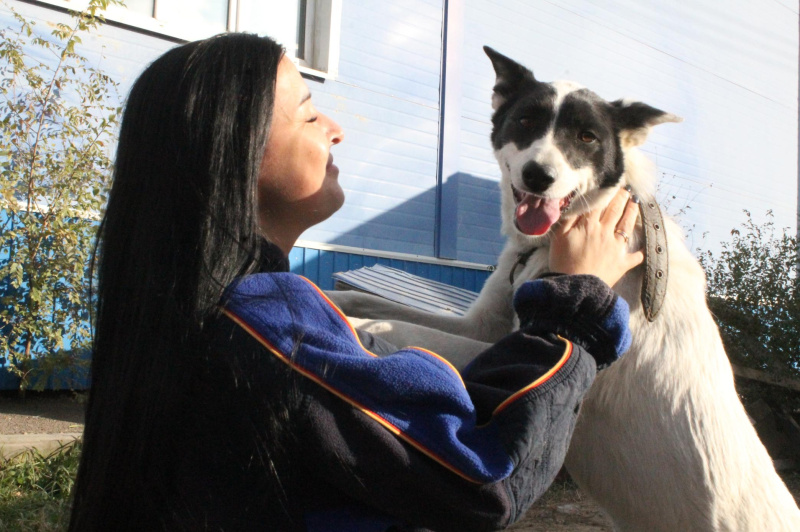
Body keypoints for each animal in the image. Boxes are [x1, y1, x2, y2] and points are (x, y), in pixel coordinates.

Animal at [329, 47, 800, 531]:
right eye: (525, 122)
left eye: (587, 137)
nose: (539, 176)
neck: (552, 240)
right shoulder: (483, 325)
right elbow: (379, 303)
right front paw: (340, 300)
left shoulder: (497, 344)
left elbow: (402, 327)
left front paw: (349, 325)